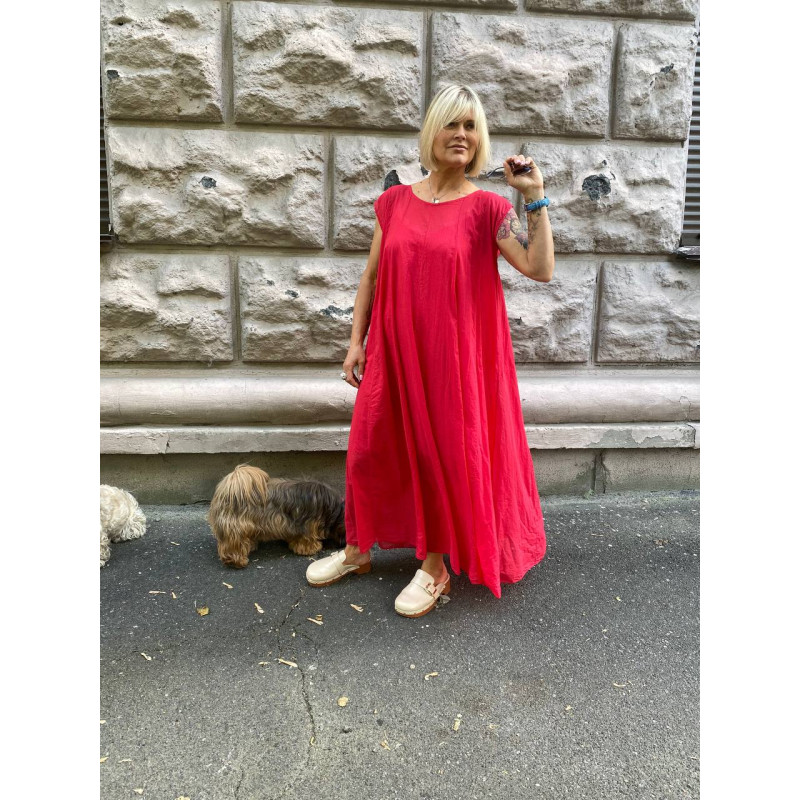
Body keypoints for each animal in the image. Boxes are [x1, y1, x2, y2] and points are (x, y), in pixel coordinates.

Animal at [208, 465, 347, 568]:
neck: (334, 511)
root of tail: (225, 491)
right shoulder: (308, 527)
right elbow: (307, 540)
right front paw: (311, 548)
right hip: (235, 527)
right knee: (231, 545)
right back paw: (237, 561)